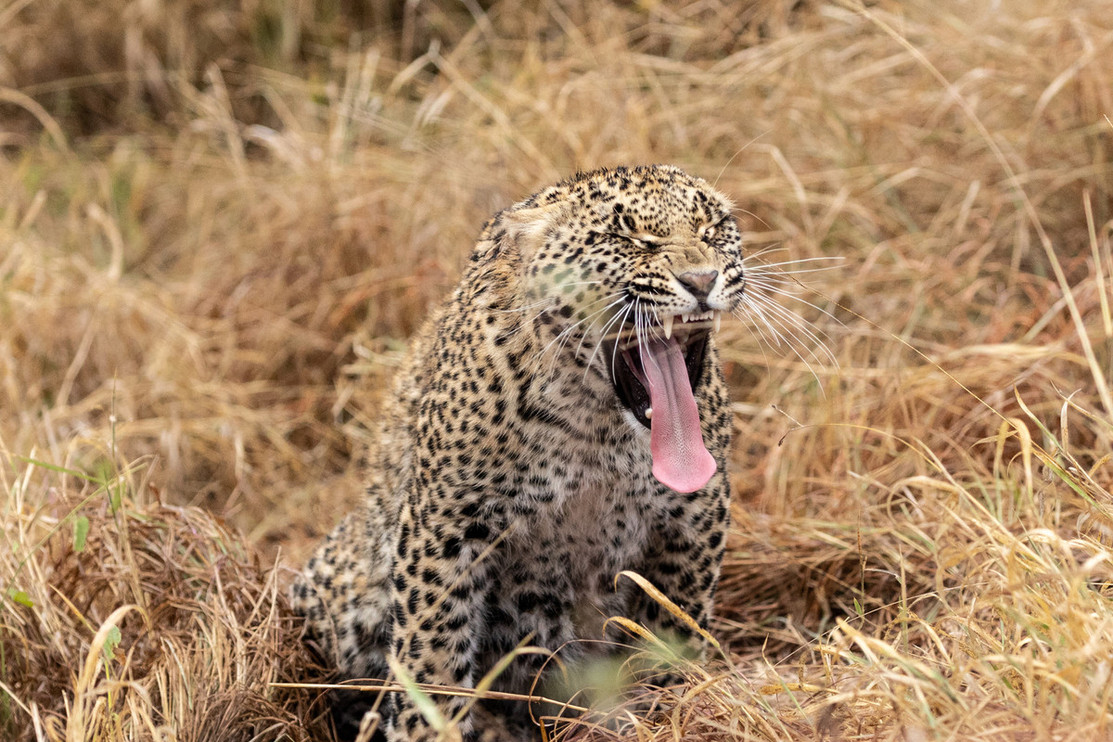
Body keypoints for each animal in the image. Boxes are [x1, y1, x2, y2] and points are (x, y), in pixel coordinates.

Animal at [292, 164, 746, 741]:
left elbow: (673, 626)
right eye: (628, 239)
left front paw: (671, 705)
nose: (702, 280)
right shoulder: (446, 527)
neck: (598, 431)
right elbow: (431, 654)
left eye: (714, 229)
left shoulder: (695, 517)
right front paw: (428, 728)